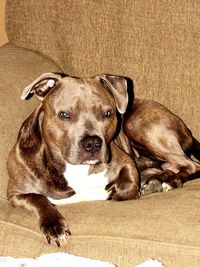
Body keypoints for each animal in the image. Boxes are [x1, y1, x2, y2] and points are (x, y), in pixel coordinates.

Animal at [6, 73, 200, 247]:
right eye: (64, 115)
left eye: (107, 113)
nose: (92, 143)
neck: (74, 169)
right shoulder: (15, 194)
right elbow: (37, 198)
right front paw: (53, 225)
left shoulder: (126, 161)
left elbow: (126, 187)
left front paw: (116, 192)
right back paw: (157, 181)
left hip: (141, 126)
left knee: (191, 165)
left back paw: (169, 182)